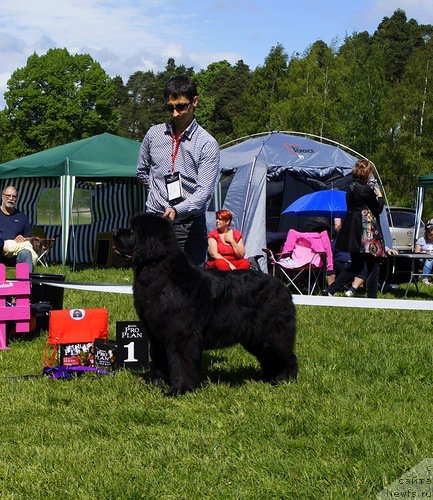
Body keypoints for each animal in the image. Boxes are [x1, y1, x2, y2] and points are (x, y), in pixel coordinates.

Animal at [111, 213, 296, 396]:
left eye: (133, 230)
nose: (113, 231)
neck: (161, 272)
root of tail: (283, 287)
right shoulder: (156, 334)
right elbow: (158, 358)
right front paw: (155, 384)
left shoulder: (181, 334)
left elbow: (180, 362)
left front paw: (179, 389)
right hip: (255, 336)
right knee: (270, 356)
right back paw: (270, 379)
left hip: (272, 332)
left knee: (286, 356)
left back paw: (285, 380)